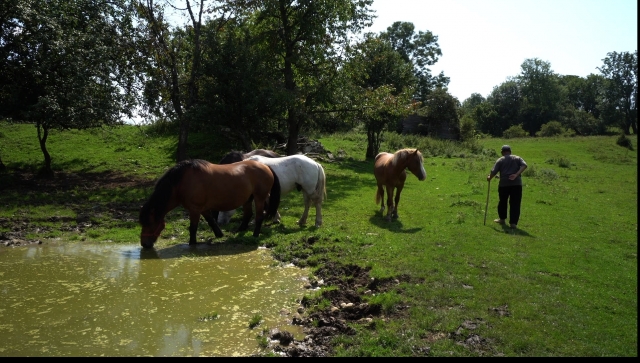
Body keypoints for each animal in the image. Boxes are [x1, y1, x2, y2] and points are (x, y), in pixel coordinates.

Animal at [139, 160, 282, 250]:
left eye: (149, 223)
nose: (144, 244)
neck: (181, 183)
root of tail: (266, 166)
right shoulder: (202, 209)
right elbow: (211, 221)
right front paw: (219, 235)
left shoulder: (195, 209)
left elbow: (193, 228)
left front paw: (192, 244)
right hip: (248, 199)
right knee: (248, 214)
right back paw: (240, 230)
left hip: (259, 198)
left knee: (259, 216)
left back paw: (255, 235)